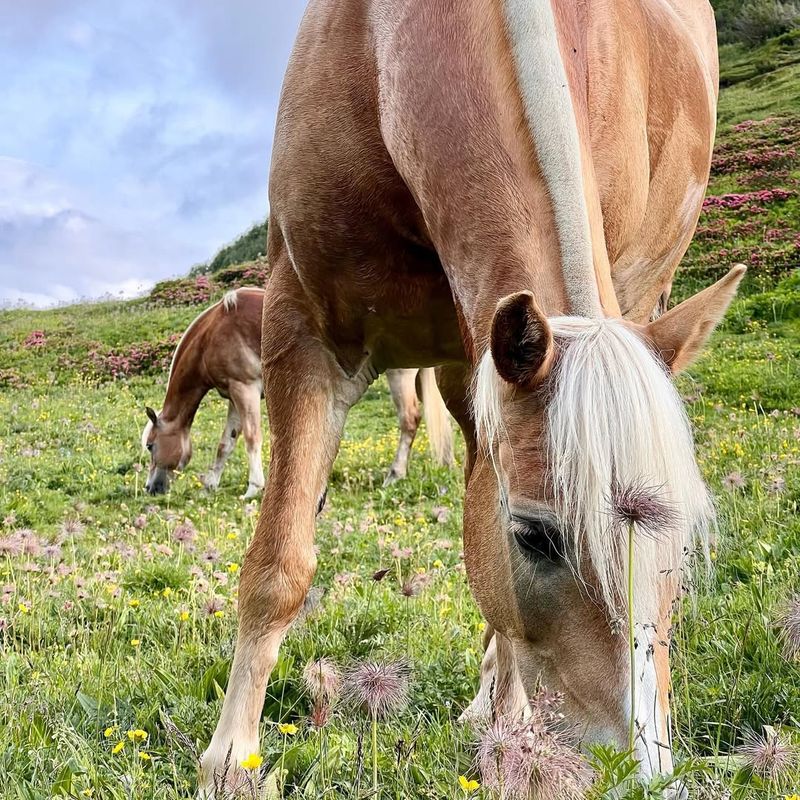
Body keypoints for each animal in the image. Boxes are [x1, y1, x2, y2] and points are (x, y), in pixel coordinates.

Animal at [141, 288, 454, 496]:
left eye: (150, 445)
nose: (150, 488)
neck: (214, 333)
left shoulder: (246, 390)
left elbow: (252, 438)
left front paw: (253, 488)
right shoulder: (233, 394)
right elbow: (226, 442)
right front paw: (211, 484)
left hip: (399, 375)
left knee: (409, 420)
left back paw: (394, 475)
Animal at [200, 0, 744, 792]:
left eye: (680, 540)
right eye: (535, 536)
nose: (641, 775)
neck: (385, 56)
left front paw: (510, 730)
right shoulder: (304, 336)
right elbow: (278, 567)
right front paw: (230, 762)